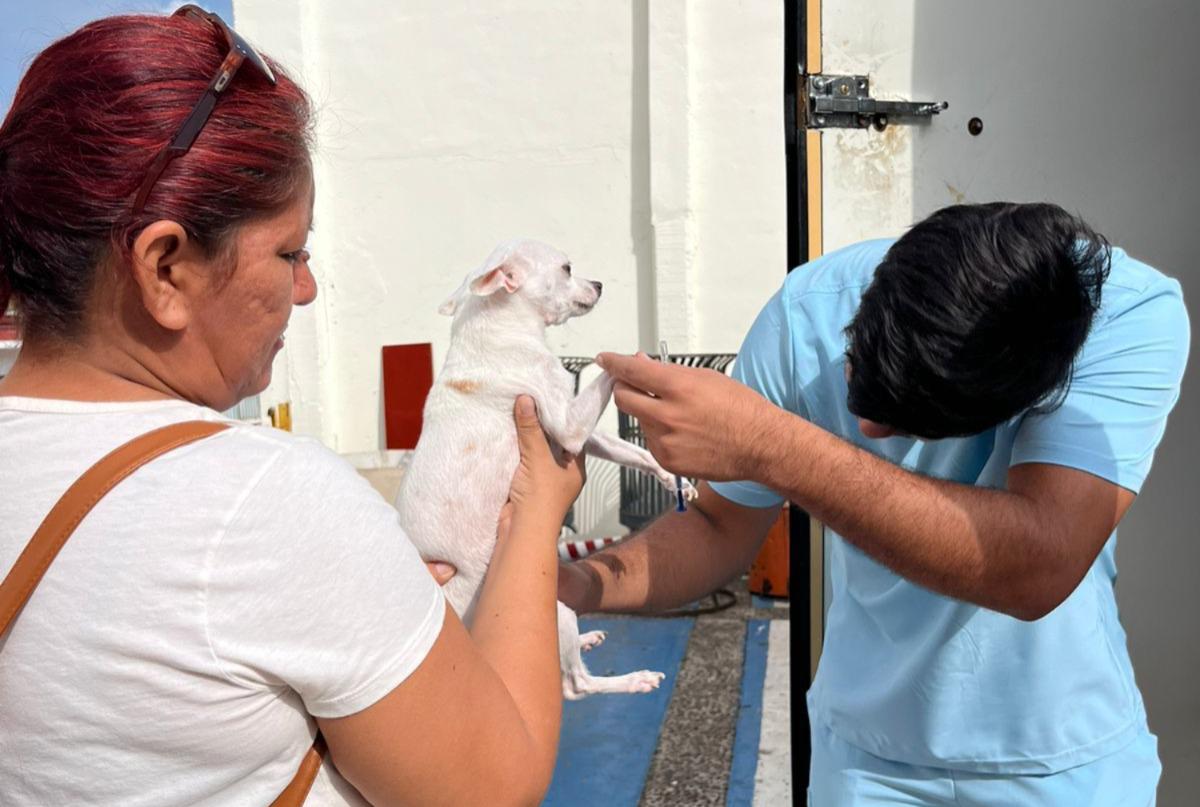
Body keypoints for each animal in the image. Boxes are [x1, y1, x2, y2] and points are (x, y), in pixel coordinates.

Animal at [396, 237, 696, 701]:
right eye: (567, 268)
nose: (599, 283)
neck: (499, 326)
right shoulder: (569, 428)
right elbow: (607, 373)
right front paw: (632, 358)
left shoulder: (581, 435)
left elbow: (635, 453)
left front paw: (673, 481)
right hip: (556, 615)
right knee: (576, 685)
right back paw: (631, 680)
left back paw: (590, 640)